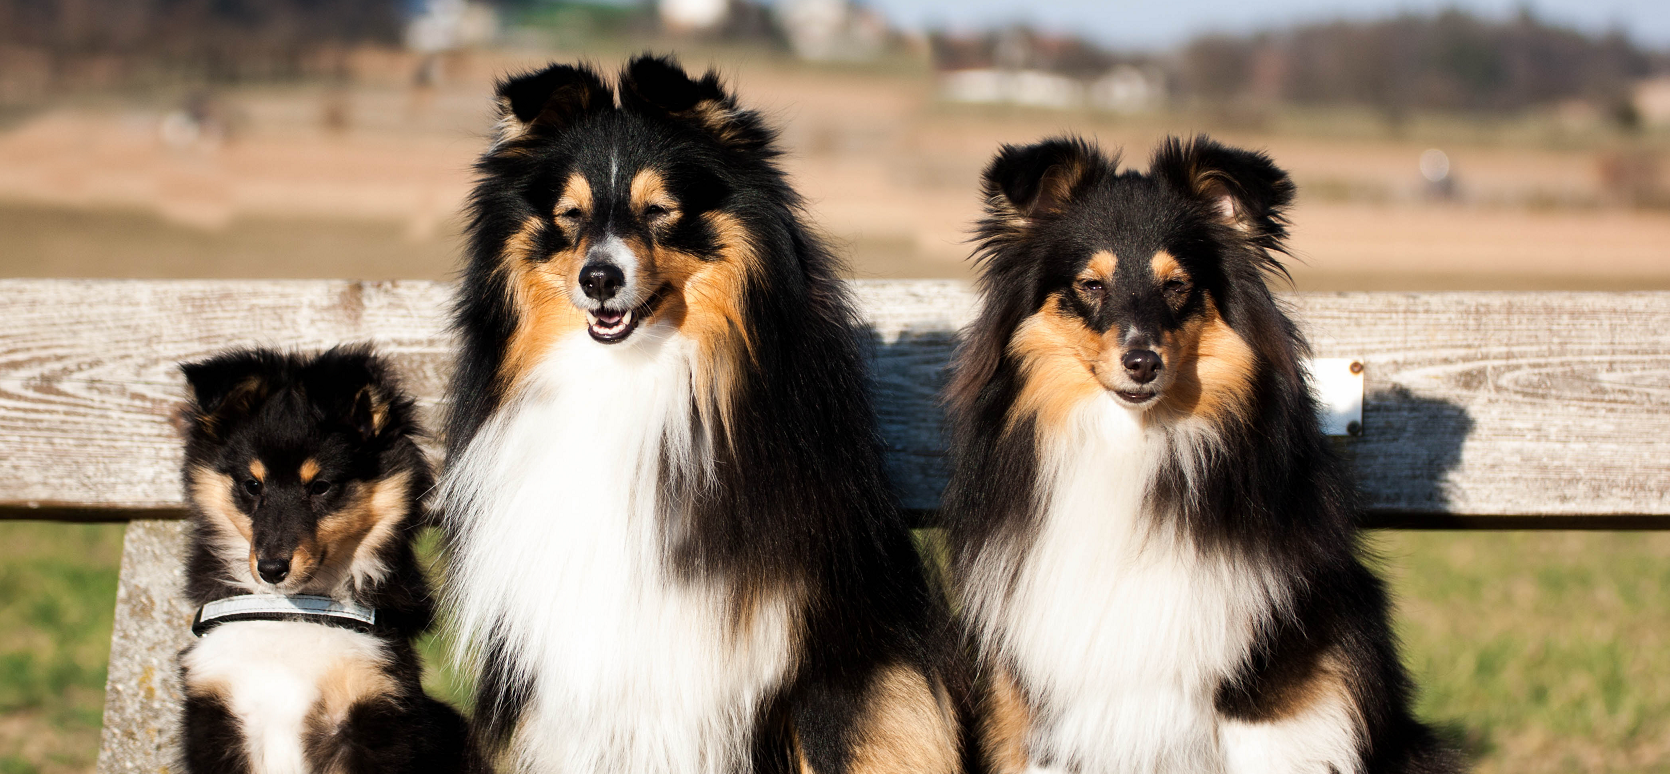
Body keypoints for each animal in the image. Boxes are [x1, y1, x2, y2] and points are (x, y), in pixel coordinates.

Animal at [175, 347, 474, 774]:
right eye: (252, 484)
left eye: (321, 486)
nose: (271, 570)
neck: (291, 612)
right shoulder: (215, 711)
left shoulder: (374, 705)